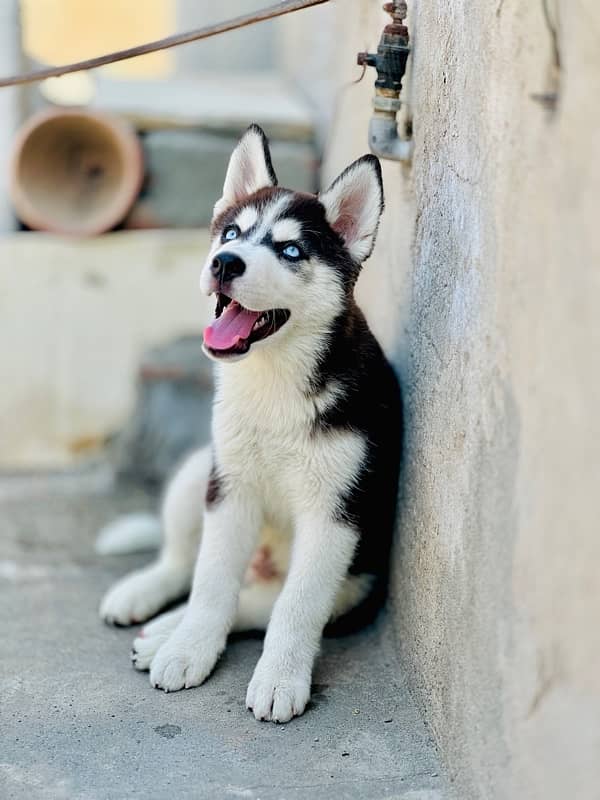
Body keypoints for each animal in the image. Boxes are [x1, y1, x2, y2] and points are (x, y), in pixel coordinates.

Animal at [99, 125, 404, 724]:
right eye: (233, 233)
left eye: (290, 250)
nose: (225, 262)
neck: (273, 380)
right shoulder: (231, 489)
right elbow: (211, 581)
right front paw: (190, 648)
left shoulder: (335, 517)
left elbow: (295, 607)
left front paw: (280, 677)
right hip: (202, 470)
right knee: (184, 564)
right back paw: (151, 605)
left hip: (355, 583)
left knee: (263, 602)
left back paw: (162, 633)